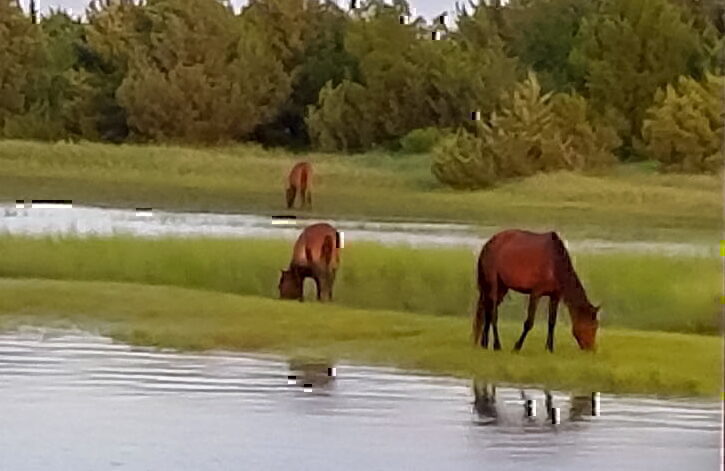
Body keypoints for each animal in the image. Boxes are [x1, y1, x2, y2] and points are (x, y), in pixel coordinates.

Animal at [470, 230, 600, 352]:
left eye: (596, 327)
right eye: (592, 326)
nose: (591, 350)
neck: (554, 262)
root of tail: (488, 244)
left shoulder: (555, 296)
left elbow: (551, 323)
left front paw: (549, 349)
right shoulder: (536, 293)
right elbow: (529, 323)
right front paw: (517, 347)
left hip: (502, 288)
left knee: (487, 312)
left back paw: (484, 344)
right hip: (493, 284)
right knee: (493, 314)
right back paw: (497, 345)